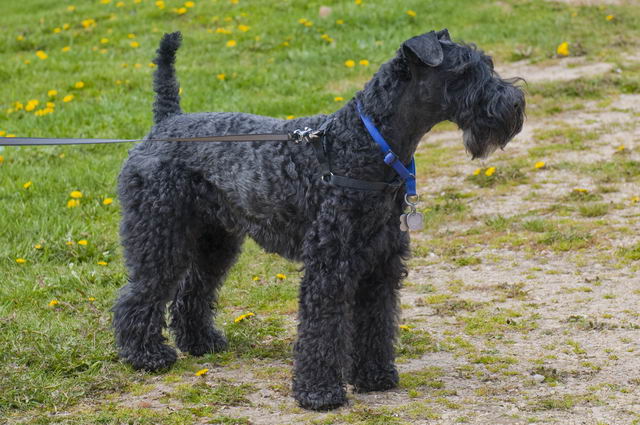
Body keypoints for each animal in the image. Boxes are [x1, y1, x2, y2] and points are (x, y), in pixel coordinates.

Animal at [114, 28, 524, 410]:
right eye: (466, 71)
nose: (516, 102)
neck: (363, 144)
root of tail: (165, 124)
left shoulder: (380, 264)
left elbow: (376, 321)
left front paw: (375, 376)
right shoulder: (330, 266)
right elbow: (322, 329)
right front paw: (319, 392)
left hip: (215, 240)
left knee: (193, 289)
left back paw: (201, 342)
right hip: (159, 235)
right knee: (140, 292)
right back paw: (146, 355)